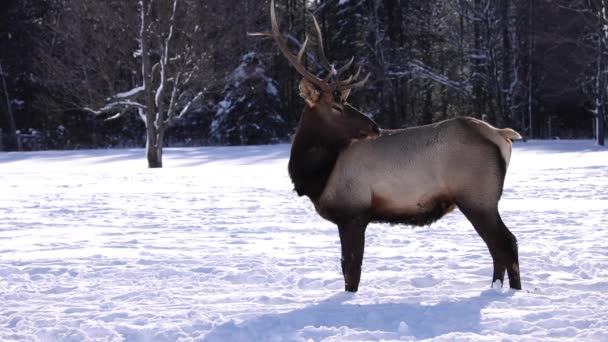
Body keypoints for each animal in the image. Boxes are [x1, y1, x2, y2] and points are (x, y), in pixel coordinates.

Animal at [249, 0, 520, 294]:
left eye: (344, 102)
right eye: (336, 106)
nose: (374, 126)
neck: (318, 176)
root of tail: (502, 135)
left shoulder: (353, 212)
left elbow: (351, 271)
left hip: (477, 196)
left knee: (506, 243)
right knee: (498, 248)